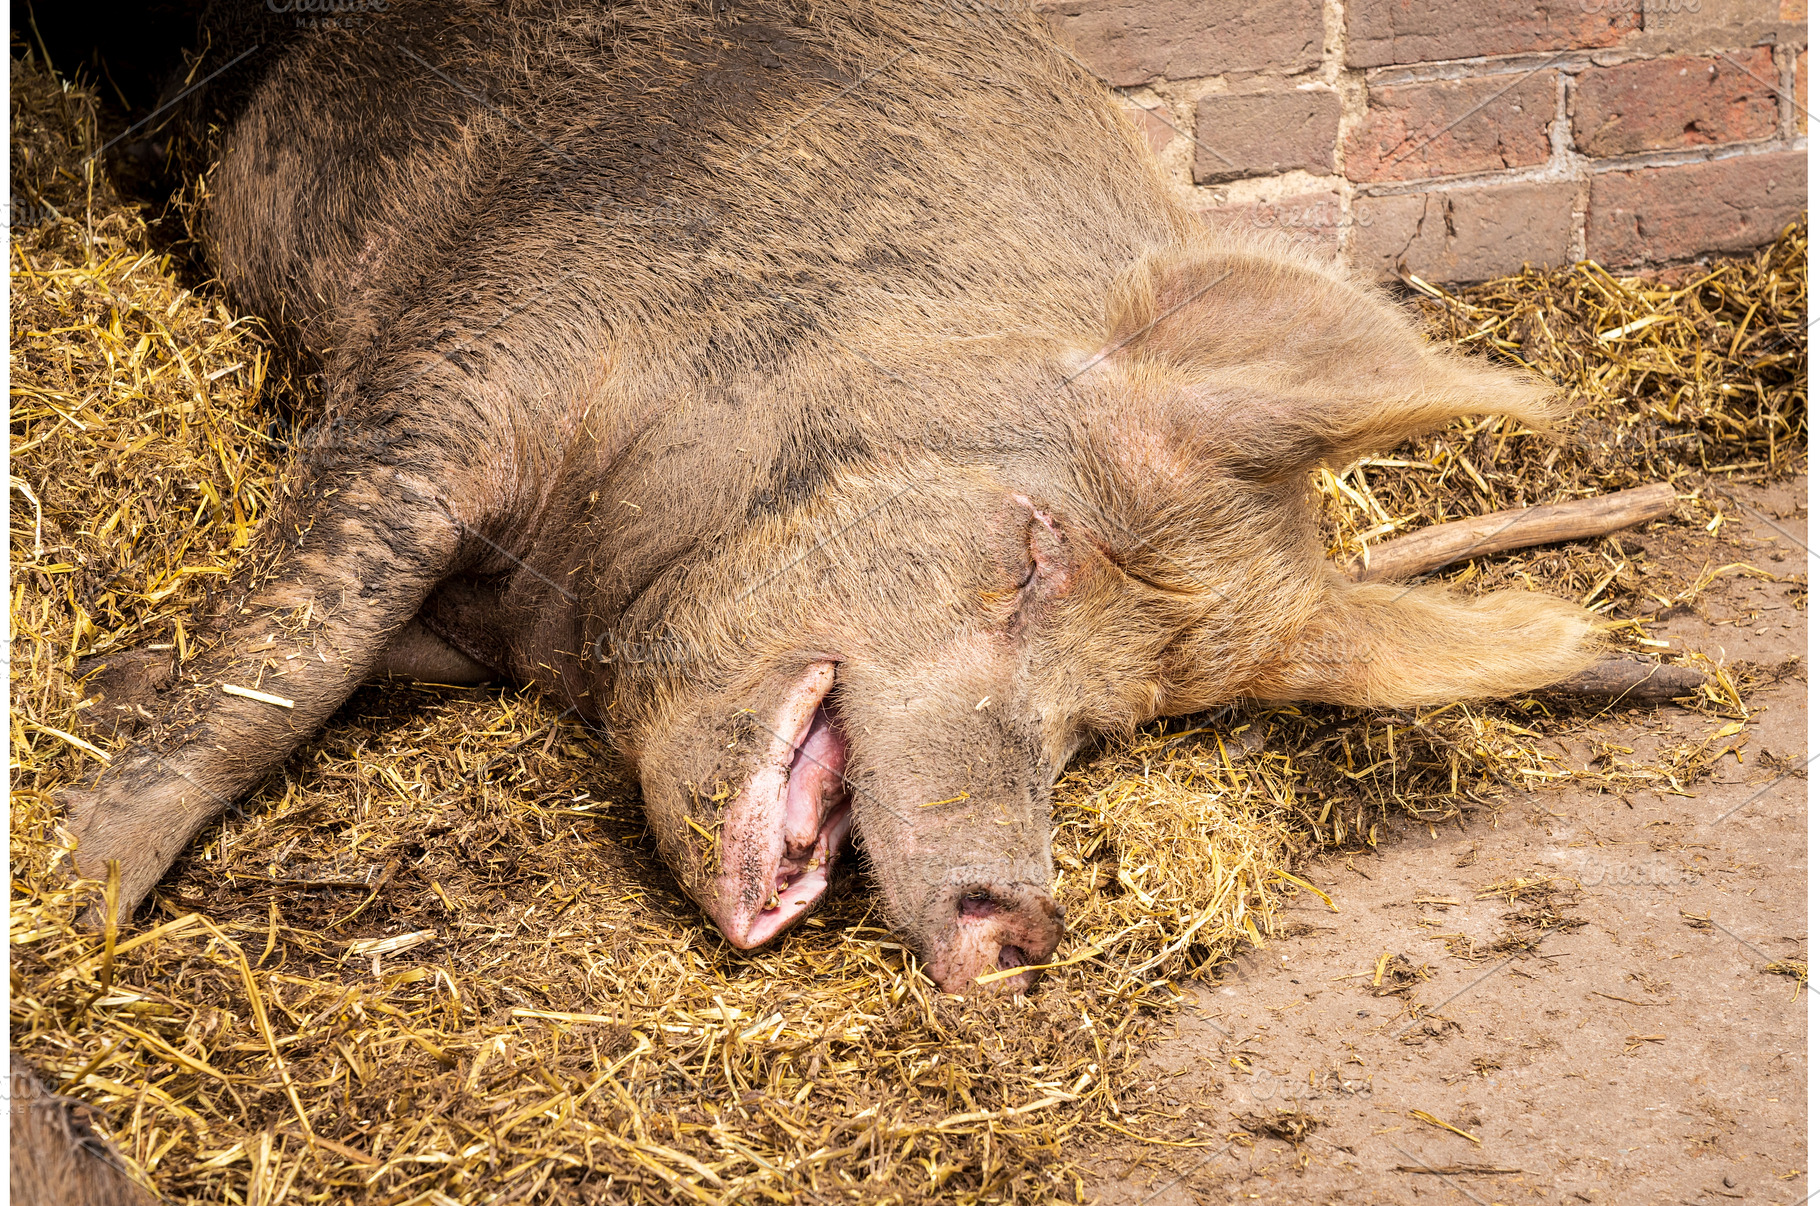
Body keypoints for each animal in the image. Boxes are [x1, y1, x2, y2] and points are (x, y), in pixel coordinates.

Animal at [65, 0, 1600, 993]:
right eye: (1034, 552)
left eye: (1108, 726)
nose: (1021, 930)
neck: (575, 596)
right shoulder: (470, 361)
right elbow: (295, 655)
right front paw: (75, 884)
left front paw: (108, 695)